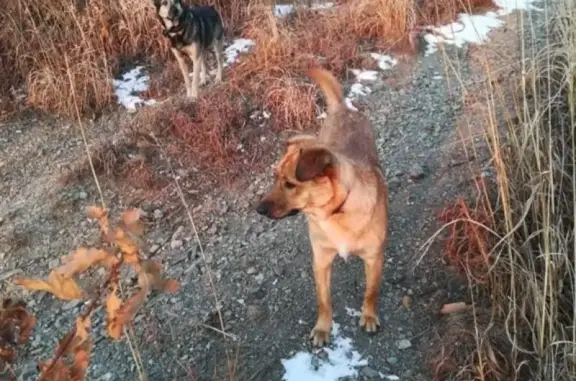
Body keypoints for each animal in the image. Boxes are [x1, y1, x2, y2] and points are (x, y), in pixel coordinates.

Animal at [258, 67, 390, 344]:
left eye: (289, 183)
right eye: (275, 178)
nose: (258, 210)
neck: (335, 212)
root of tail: (342, 108)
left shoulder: (374, 259)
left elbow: (371, 291)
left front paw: (369, 315)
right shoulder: (321, 261)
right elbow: (324, 301)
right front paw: (322, 328)